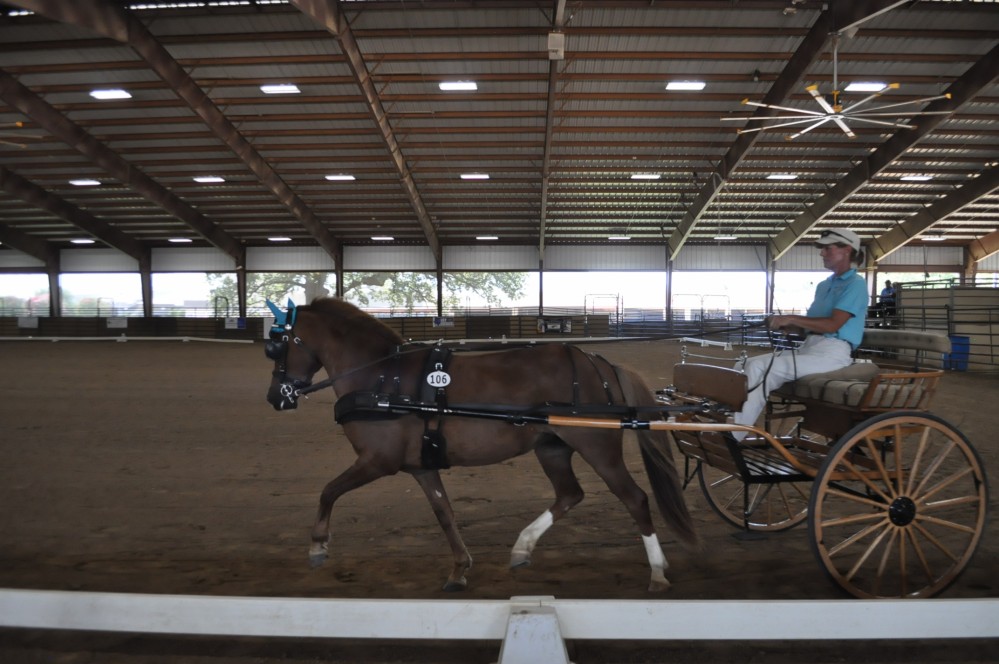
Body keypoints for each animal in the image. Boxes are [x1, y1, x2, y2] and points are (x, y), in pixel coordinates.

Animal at [264, 296, 696, 592]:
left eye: (277, 344)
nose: (275, 398)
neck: (382, 378)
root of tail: (597, 362)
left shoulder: (376, 461)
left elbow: (328, 490)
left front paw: (317, 546)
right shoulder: (421, 466)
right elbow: (445, 513)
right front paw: (459, 568)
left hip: (597, 447)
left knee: (635, 498)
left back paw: (657, 571)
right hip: (552, 447)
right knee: (569, 495)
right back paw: (522, 547)